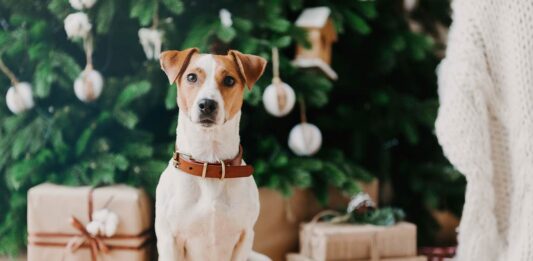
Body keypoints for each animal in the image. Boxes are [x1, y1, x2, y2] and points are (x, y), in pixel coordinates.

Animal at [156, 48, 268, 260]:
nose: (207, 104)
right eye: (191, 77)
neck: (209, 164)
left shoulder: (245, 237)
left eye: (229, 80)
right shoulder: (170, 240)